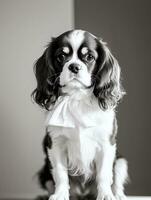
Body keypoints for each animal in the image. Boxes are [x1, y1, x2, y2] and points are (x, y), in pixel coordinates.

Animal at [32, 29, 128, 200]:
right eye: (61, 56)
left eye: (89, 57)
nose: (74, 67)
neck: (76, 99)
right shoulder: (55, 144)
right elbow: (60, 174)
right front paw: (60, 194)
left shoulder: (106, 144)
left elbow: (104, 174)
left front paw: (105, 195)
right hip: (45, 171)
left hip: (121, 161)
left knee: (116, 179)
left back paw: (118, 195)